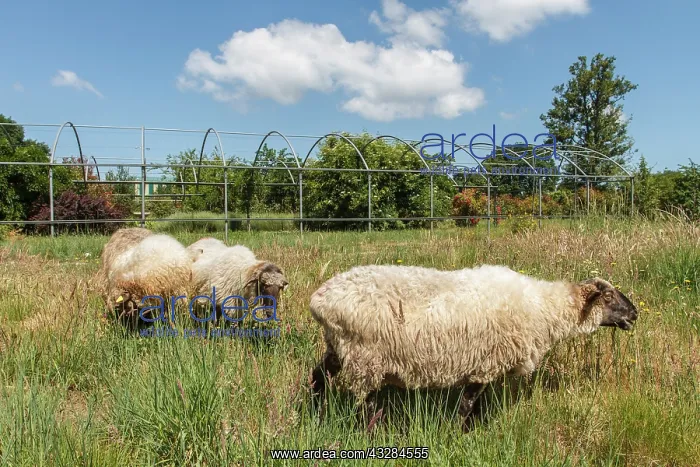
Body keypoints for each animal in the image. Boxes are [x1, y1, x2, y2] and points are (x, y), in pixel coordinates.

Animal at [308, 264, 638, 431]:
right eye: (608, 298)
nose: (635, 313)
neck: (543, 309)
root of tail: (319, 300)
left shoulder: (484, 365)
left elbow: (478, 406)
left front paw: (474, 430)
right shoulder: (484, 363)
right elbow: (467, 405)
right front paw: (458, 434)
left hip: (338, 347)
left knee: (317, 376)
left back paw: (316, 412)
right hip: (365, 358)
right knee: (366, 404)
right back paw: (374, 434)